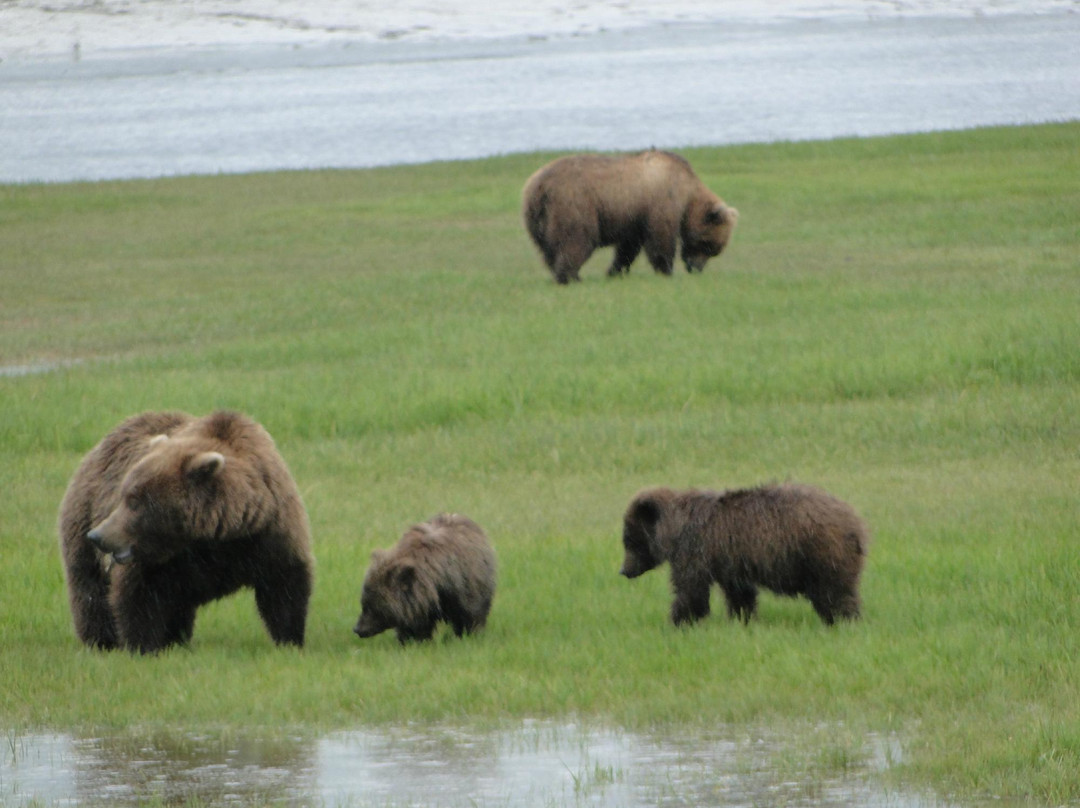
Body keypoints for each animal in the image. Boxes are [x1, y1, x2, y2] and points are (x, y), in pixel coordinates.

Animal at [58, 410, 314, 653]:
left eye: (135, 502)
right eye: (124, 496)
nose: (98, 536)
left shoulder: (269, 534)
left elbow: (284, 589)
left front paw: (290, 641)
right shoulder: (157, 564)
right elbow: (137, 597)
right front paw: (143, 647)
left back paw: (176, 640)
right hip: (82, 519)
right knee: (90, 590)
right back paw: (101, 641)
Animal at [353, 513, 496, 644]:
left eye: (372, 606)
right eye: (364, 602)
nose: (358, 629)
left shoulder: (462, 589)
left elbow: (469, 615)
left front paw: (468, 635)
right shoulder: (419, 603)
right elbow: (416, 625)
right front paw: (412, 640)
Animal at [522, 149, 738, 284]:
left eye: (715, 250)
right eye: (707, 244)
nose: (695, 268)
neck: (688, 193)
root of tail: (539, 186)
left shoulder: (635, 217)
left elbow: (628, 247)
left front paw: (615, 271)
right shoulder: (661, 202)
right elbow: (661, 239)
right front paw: (666, 270)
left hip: (536, 217)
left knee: (548, 249)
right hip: (574, 204)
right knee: (576, 240)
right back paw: (570, 277)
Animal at [619, 483, 869, 626]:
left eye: (629, 540)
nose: (624, 570)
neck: (673, 530)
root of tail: (856, 523)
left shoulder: (696, 549)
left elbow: (691, 590)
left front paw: (677, 621)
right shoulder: (731, 562)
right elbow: (740, 594)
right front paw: (742, 619)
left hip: (820, 553)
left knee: (834, 592)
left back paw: (842, 621)